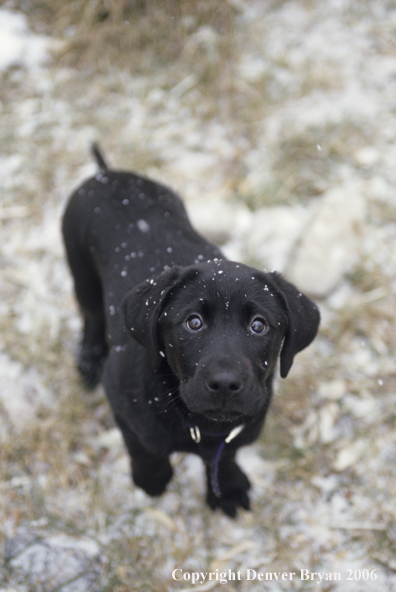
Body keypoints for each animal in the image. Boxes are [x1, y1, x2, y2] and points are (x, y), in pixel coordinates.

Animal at [62, 146, 322, 516]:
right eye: (193, 322)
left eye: (258, 326)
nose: (225, 383)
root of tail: (106, 174)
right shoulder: (120, 398)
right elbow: (143, 447)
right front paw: (152, 479)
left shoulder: (241, 428)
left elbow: (224, 454)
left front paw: (226, 487)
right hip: (80, 268)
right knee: (92, 315)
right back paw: (88, 362)